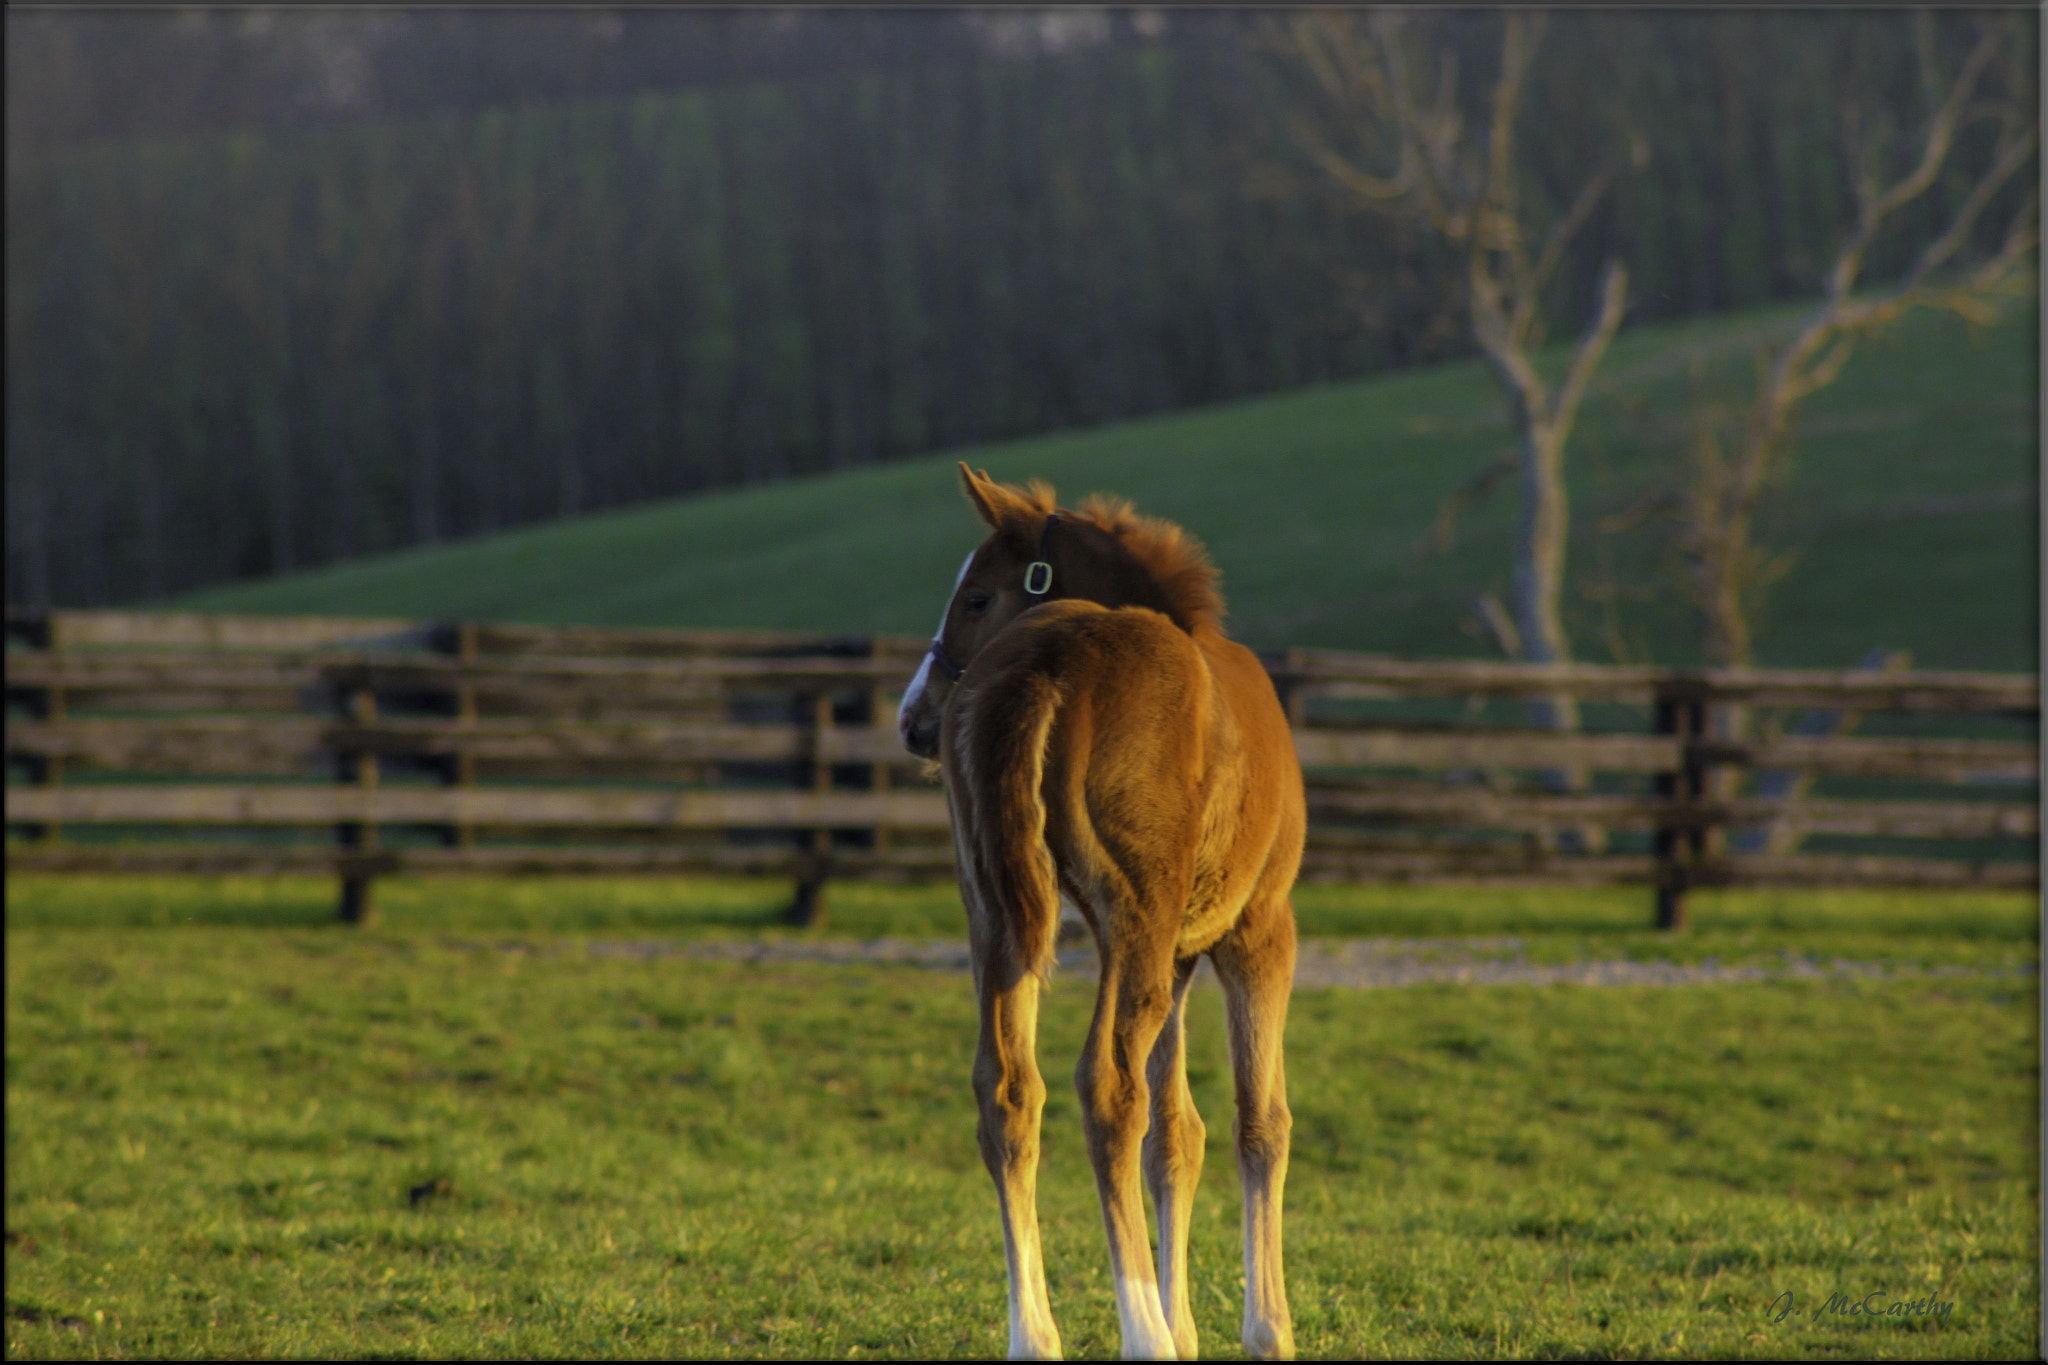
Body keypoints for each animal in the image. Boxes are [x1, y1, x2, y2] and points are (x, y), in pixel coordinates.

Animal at [898, 464, 1305, 1361]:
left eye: (975, 595)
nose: (912, 718)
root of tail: (1047, 661)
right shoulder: (1258, 928)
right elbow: (1258, 1120)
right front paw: (1264, 1328)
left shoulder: (1181, 954)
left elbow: (1177, 1137)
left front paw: (1192, 1327)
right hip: (1134, 914)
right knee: (1108, 1088)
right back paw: (1142, 1329)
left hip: (998, 911)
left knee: (1008, 1087)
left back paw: (1036, 1334)